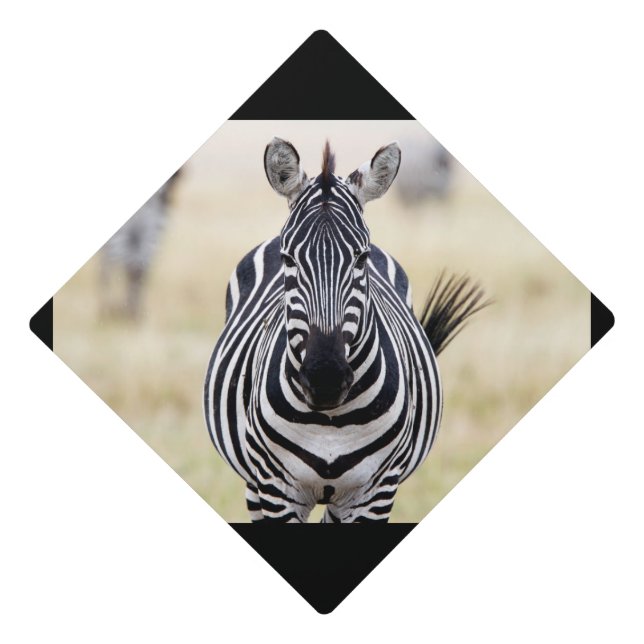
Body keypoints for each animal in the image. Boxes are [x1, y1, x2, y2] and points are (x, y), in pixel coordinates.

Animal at [204, 138, 486, 522]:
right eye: (288, 259)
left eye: (361, 258)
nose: (325, 380)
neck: (330, 422)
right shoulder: (276, 489)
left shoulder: (375, 492)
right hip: (254, 481)